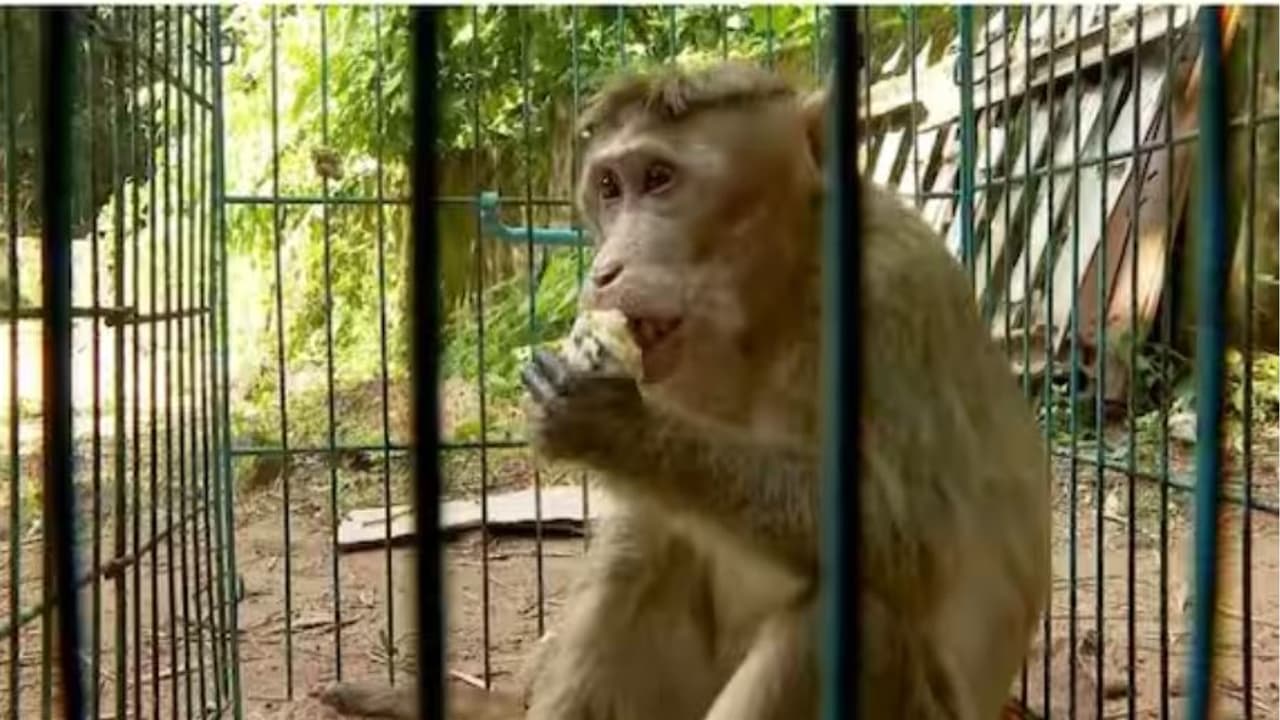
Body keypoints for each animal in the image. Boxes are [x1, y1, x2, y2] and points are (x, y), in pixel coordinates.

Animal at [316, 59, 1051, 720]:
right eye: (609, 188)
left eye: (660, 179)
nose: (605, 270)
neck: (770, 305)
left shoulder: (888, 289)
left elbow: (908, 536)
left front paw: (612, 423)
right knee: (642, 547)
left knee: (859, 615)